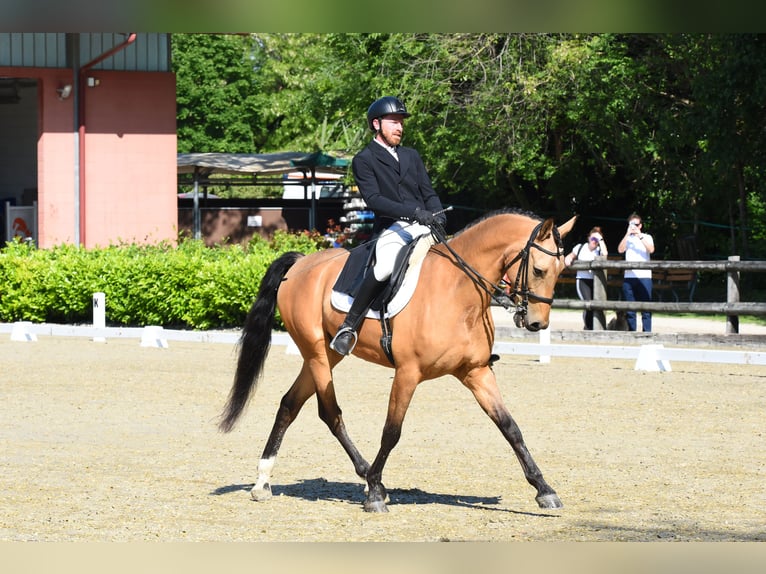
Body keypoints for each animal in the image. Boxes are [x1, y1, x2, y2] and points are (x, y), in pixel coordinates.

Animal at [219, 209, 580, 516]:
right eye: (538, 270)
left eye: (561, 271)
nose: (536, 323)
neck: (458, 292)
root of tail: (301, 263)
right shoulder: (408, 373)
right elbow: (391, 431)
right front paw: (376, 493)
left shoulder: (475, 371)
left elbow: (510, 427)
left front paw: (544, 489)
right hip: (317, 353)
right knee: (330, 413)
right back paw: (366, 476)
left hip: (323, 355)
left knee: (290, 404)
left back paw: (263, 481)